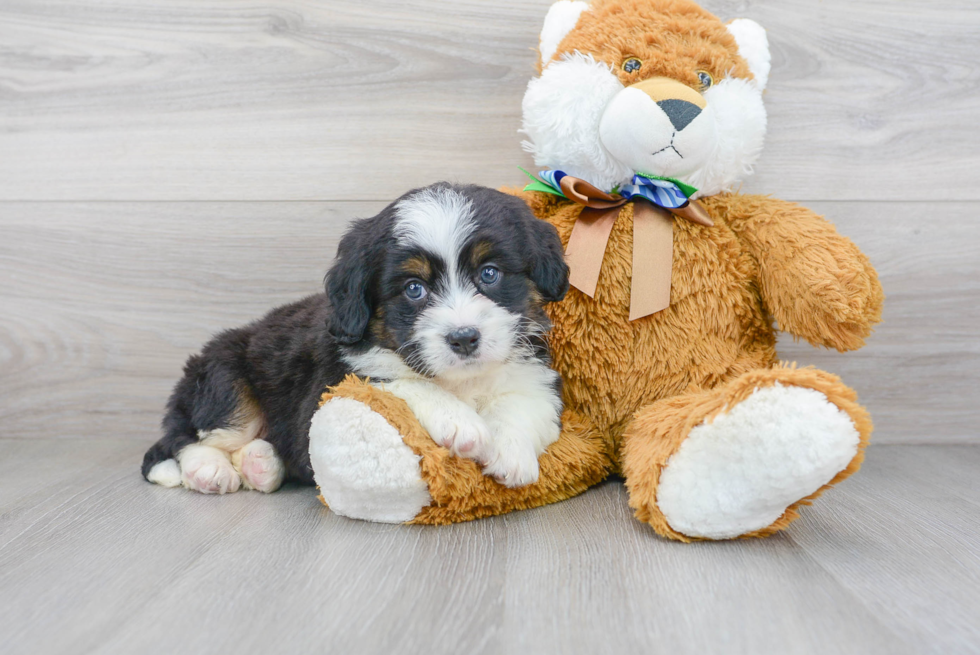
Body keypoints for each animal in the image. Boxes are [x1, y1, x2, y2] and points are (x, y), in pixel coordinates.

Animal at [137, 182, 568, 494]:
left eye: (489, 273)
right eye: (414, 289)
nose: (464, 338)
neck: (460, 381)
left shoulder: (533, 376)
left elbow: (522, 406)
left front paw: (511, 454)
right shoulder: (336, 381)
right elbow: (399, 381)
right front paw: (460, 422)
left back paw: (261, 465)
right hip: (223, 377)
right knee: (186, 439)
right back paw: (210, 471)